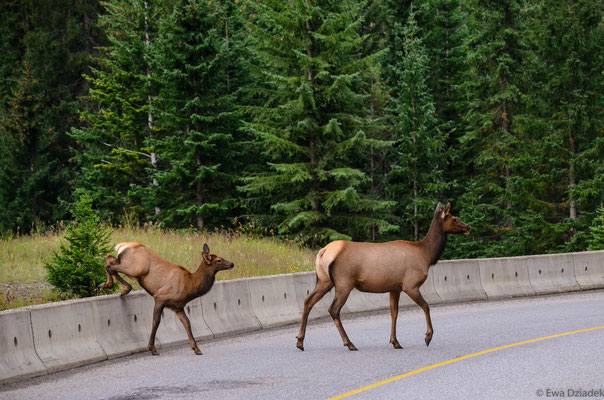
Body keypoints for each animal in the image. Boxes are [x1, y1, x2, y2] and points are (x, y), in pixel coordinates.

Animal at [294, 203, 470, 350]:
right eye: (454, 218)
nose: (468, 226)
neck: (426, 255)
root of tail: (323, 253)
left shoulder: (395, 287)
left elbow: (394, 312)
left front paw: (395, 341)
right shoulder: (410, 284)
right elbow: (426, 306)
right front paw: (428, 336)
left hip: (324, 280)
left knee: (308, 301)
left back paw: (300, 341)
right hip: (344, 282)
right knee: (334, 309)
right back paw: (349, 343)